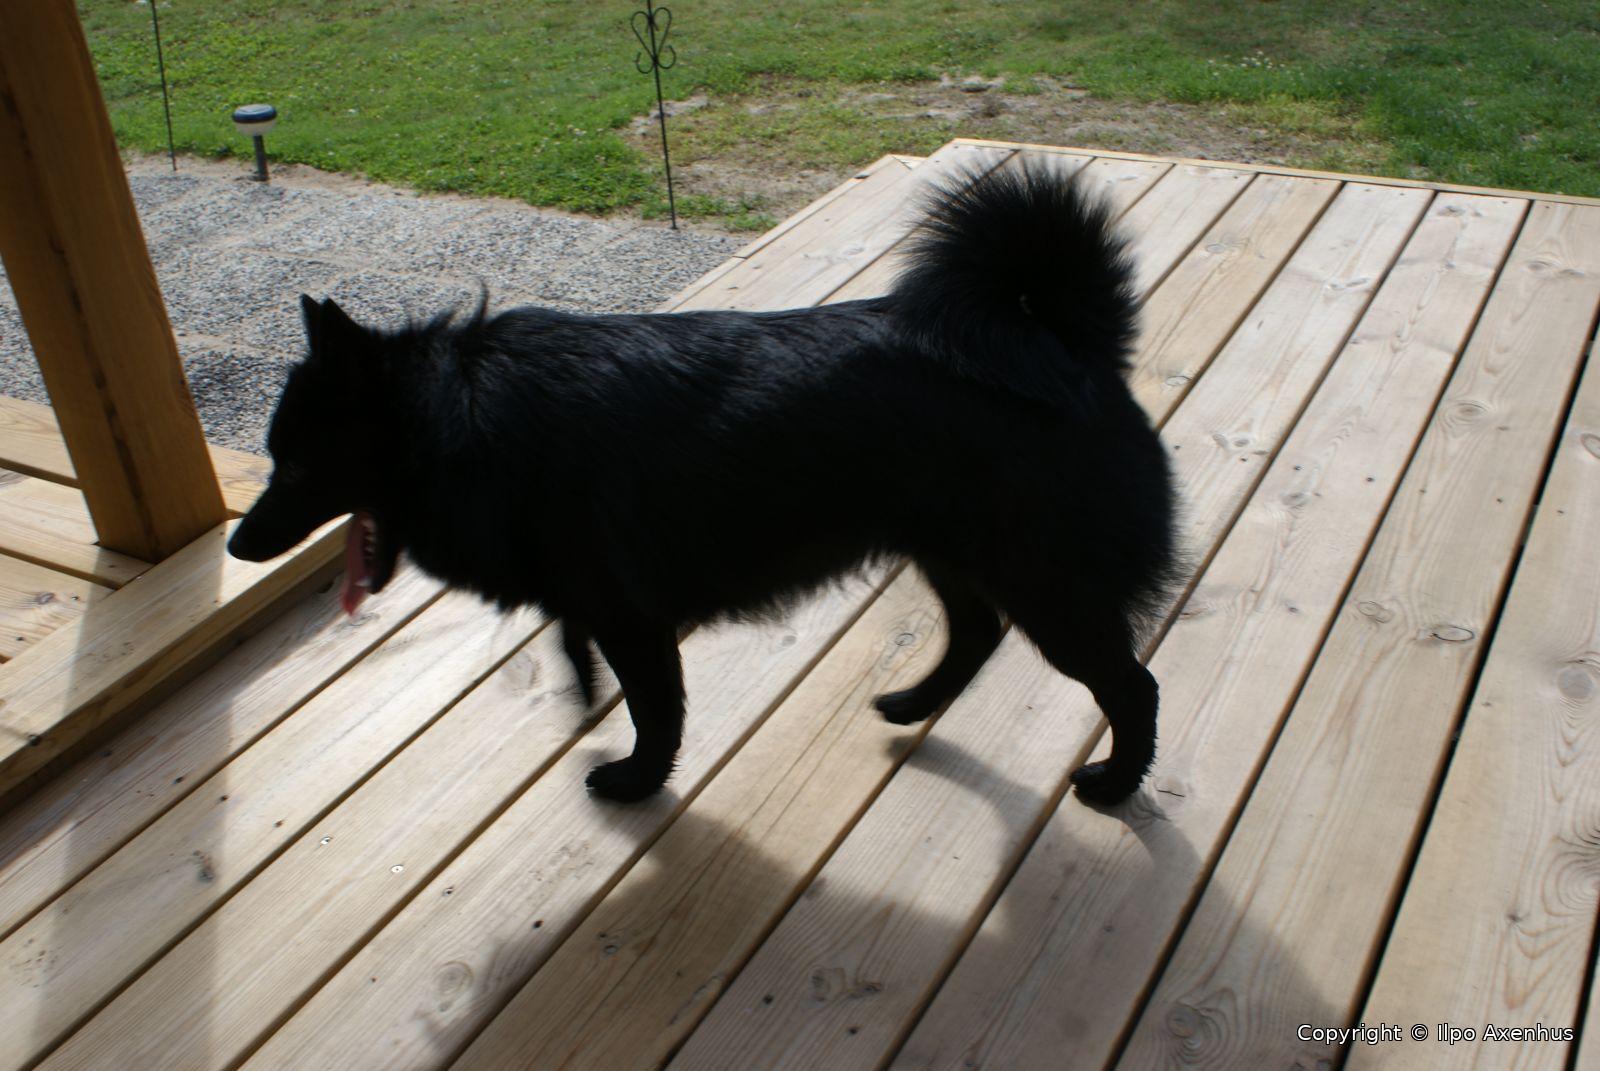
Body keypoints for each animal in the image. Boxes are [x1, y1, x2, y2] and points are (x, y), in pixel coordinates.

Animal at [228, 163, 1179, 806]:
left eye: (298, 464)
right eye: (273, 457)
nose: (237, 544)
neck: (465, 421)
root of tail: (1066, 341)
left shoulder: (630, 614)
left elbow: (656, 708)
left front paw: (635, 779)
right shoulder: (597, 601)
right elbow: (581, 649)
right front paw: (581, 688)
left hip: (1049, 583)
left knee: (1130, 684)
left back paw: (1116, 782)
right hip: (947, 548)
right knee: (978, 631)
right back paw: (914, 702)